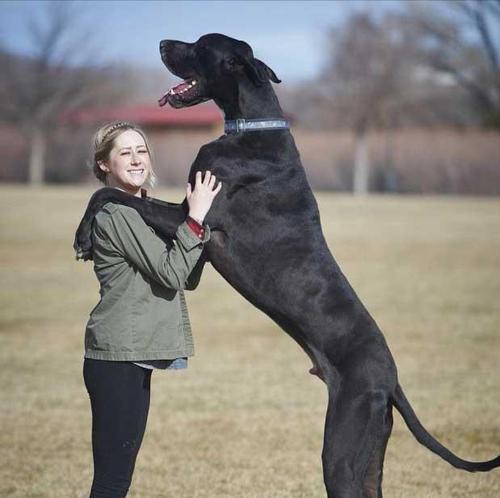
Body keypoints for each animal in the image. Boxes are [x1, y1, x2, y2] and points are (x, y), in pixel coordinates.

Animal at [75, 33, 500, 496]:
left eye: (200, 45)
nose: (163, 42)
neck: (251, 126)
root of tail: (392, 381)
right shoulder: (193, 233)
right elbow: (125, 197)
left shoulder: (199, 221)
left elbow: (109, 195)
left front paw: (84, 235)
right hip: (371, 449)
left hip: (341, 449)